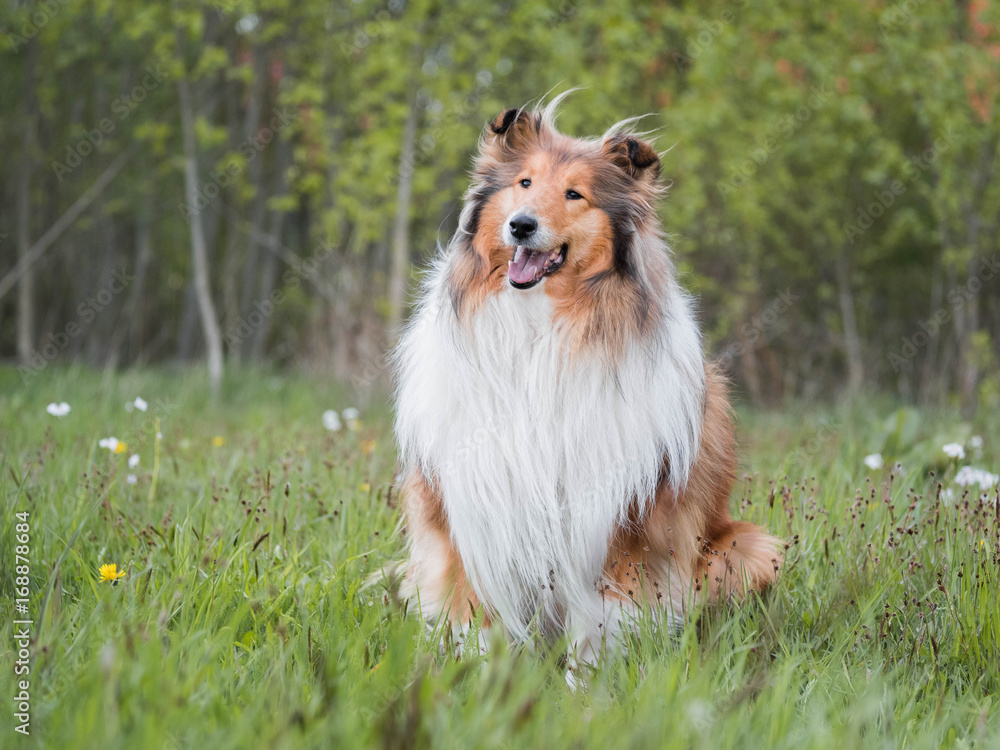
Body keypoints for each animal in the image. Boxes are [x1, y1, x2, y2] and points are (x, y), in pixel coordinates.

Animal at [390, 100, 780, 664]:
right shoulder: (471, 506)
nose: (521, 225)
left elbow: (597, 624)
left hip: (750, 550)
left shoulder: (617, 521)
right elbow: (473, 612)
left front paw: (588, 684)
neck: (539, 331)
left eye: (575, 194)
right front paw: (475, 677)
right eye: (525, 183)